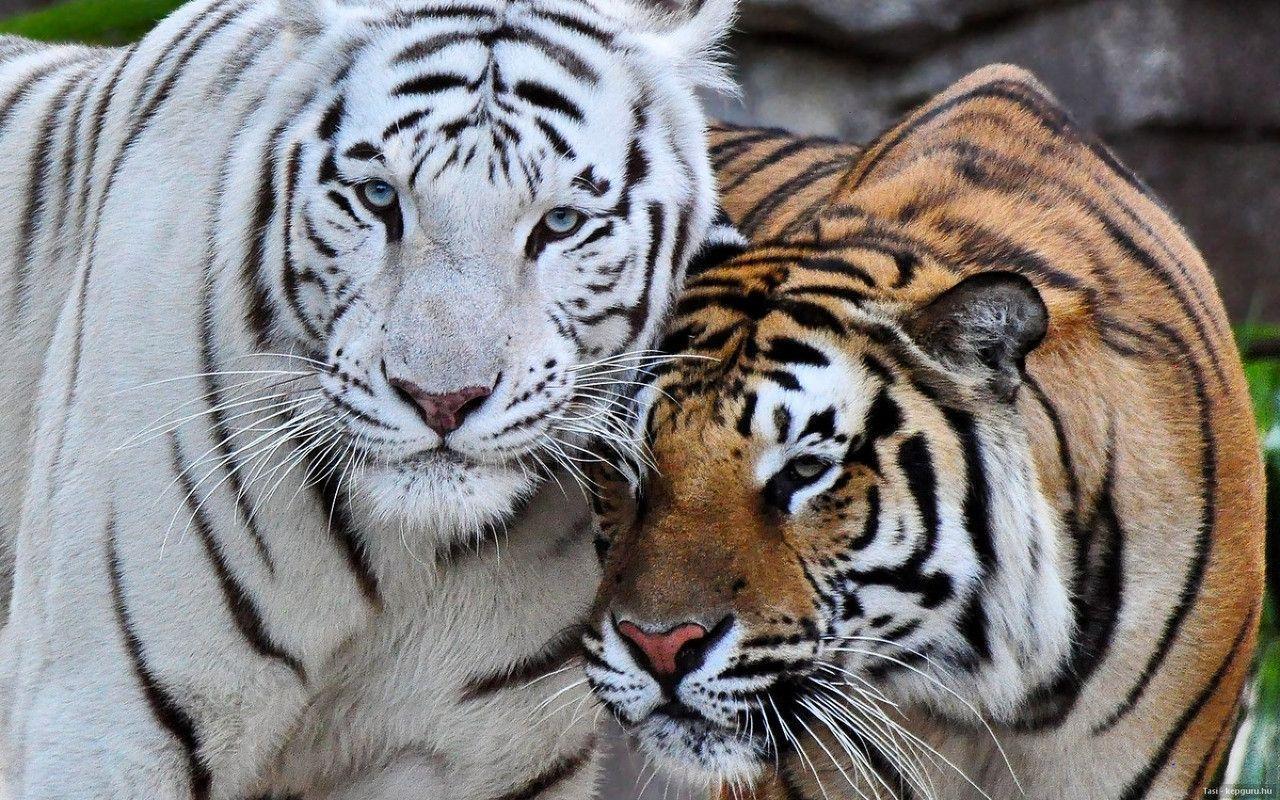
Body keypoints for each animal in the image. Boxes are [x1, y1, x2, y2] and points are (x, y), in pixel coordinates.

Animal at [0, 0, 741, 797]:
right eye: (380, 198)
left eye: (561, 222)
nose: (442, 399)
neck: (408, 561)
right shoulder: (104, 725)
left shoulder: (491, 758)